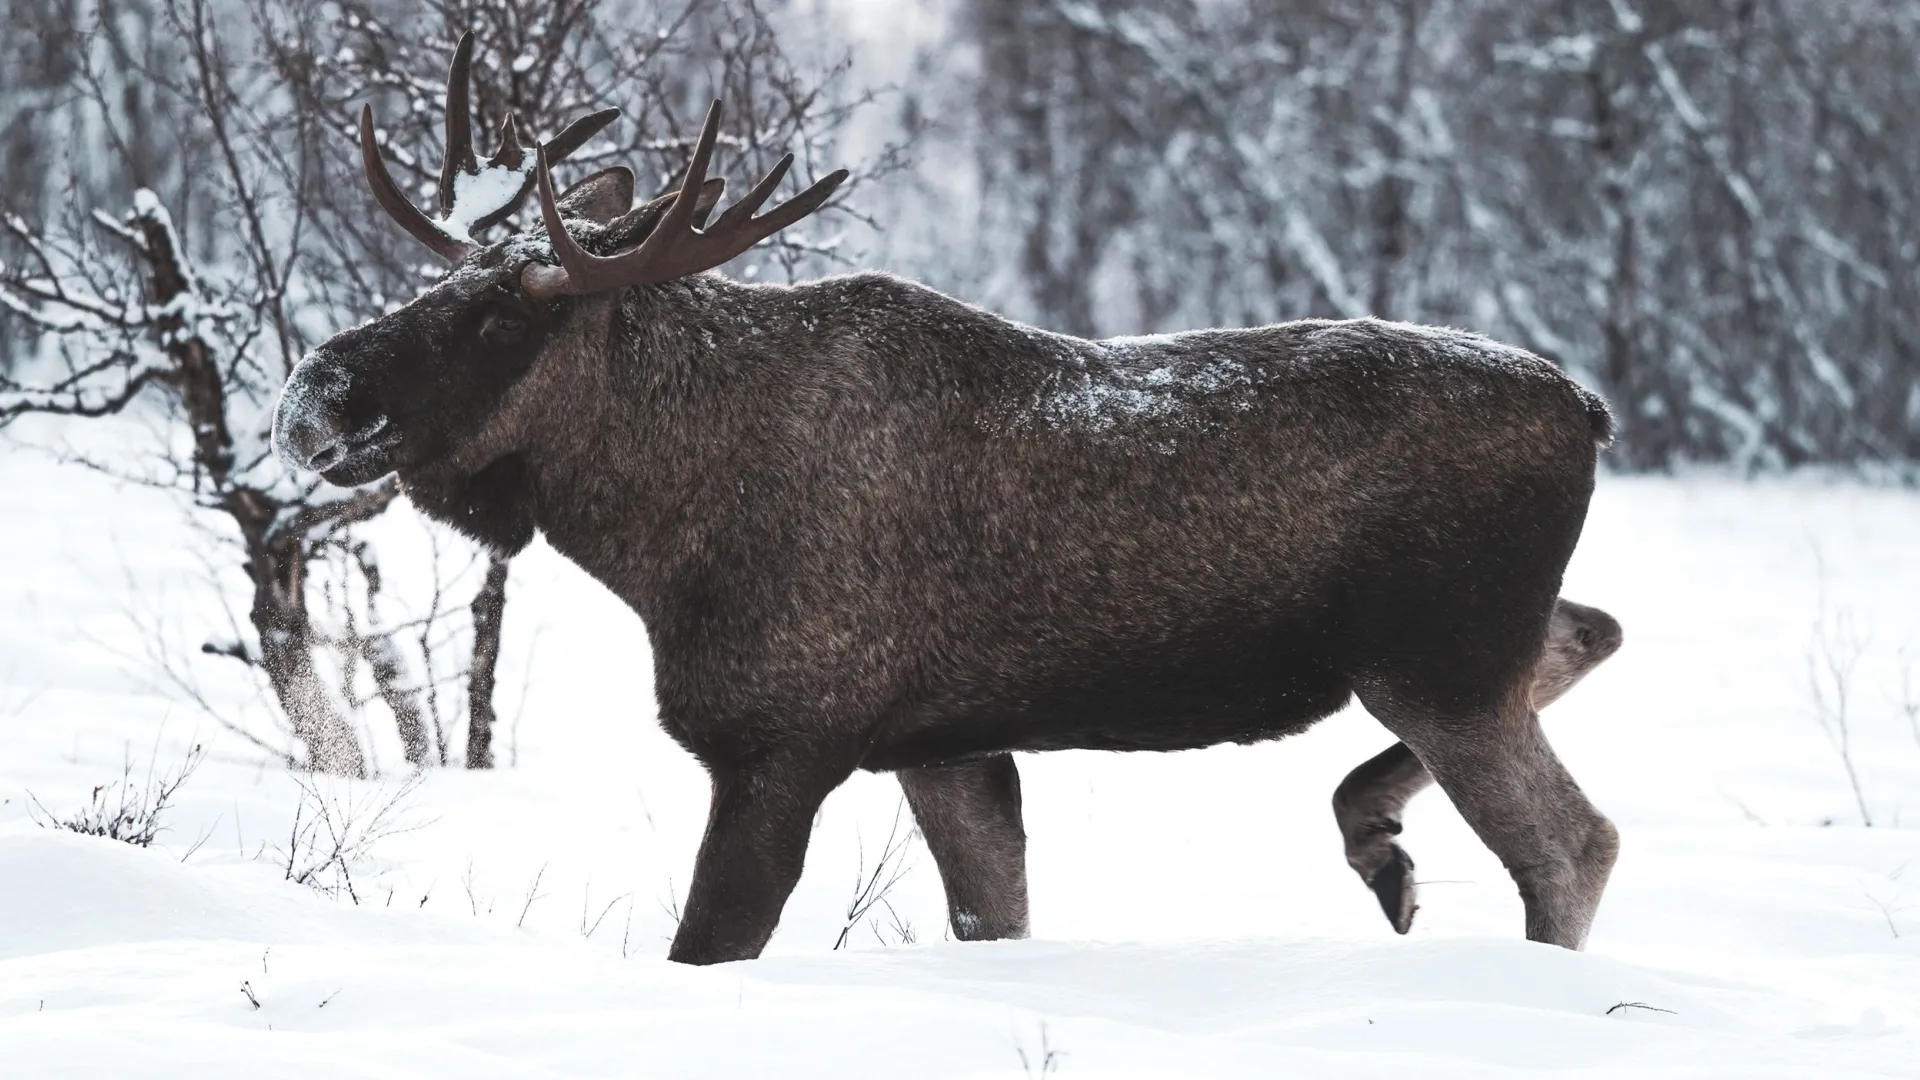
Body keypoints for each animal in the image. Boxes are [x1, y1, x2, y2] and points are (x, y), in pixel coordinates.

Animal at [270, 35, 1620, 957]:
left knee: (1575, 843)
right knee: (1591, 632)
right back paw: (1377, 838)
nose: (315, 397)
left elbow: (708, 944)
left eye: (502, 319)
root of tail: (1590, 410)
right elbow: (995, 916)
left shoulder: (783, 737)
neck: (656, 539)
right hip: (1452, 650)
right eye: (431, 284)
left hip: (1436, 655)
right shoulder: (949, 746)